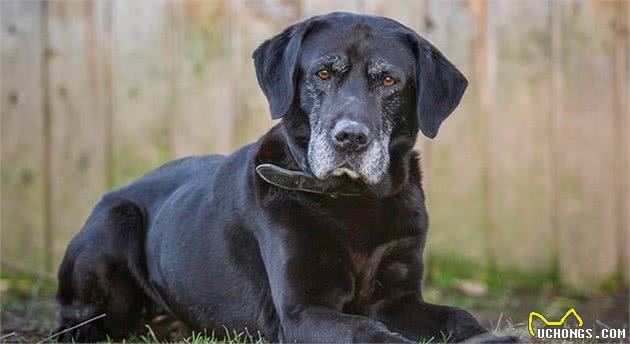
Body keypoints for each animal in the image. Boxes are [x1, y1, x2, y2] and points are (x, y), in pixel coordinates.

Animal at [55, 12, 512, 342]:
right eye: (323, 73)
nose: (350, 138)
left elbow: (458, 316)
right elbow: (367, 332)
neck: (352, 199)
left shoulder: (398, 299)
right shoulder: (301, 311)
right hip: (116, 223)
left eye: (388, 80)